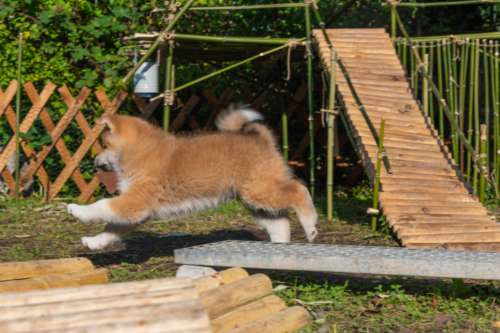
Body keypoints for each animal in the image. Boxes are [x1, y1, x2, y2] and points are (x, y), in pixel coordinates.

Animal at [67, 105, 316, 249]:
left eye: (103, 145)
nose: (94, 160)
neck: (140, 151)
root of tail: (260, 138)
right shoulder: (135, 210)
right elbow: (111, 230)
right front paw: (94, 242)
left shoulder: (135, 202)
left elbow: (101, 205)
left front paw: (78, 210)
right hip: (254, 202)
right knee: (281, 223)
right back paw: (278, 252)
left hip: (259, 192)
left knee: (299, 190)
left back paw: (311, 225)